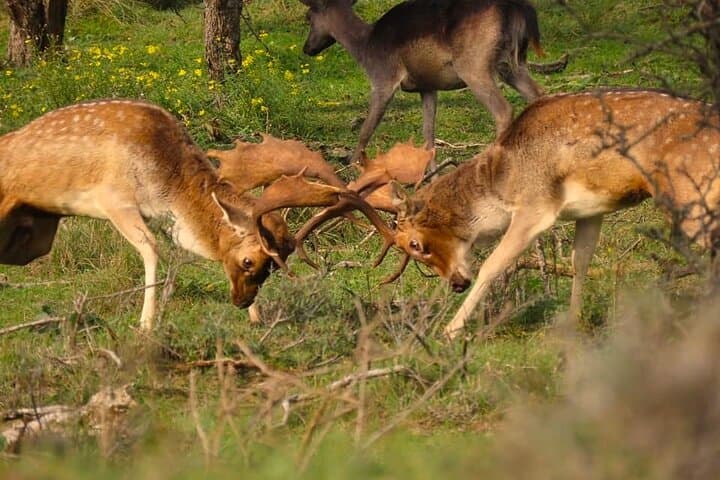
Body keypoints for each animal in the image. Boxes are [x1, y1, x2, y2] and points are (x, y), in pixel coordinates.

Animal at [0, 100, 394, 330]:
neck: (165, 183)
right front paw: (146, 324)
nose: (243, 301)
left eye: (272, 267)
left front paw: (257, 319)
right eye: (249, 261)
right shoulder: (114, 199)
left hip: (34, 234)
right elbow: (152, 250)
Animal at [298, 0, 546, 165]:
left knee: (504, 109)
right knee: (539, 94)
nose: (307, 48)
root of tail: (518, 10)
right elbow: (428, 136)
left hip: (474, 64)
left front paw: (351, 168)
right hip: (512, 64)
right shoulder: (427, 87)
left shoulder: (383, 77)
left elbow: (366, 130)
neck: (365, 47)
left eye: (308, 17)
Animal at [356, 89, 720, 340]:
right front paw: (572, 324)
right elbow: (580, 261)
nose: (457, 284)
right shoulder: (591, 209)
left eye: (416, 244)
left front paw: (450, 331)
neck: (501, 180)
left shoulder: (536, 205)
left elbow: (493, 265)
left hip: (692, 194)